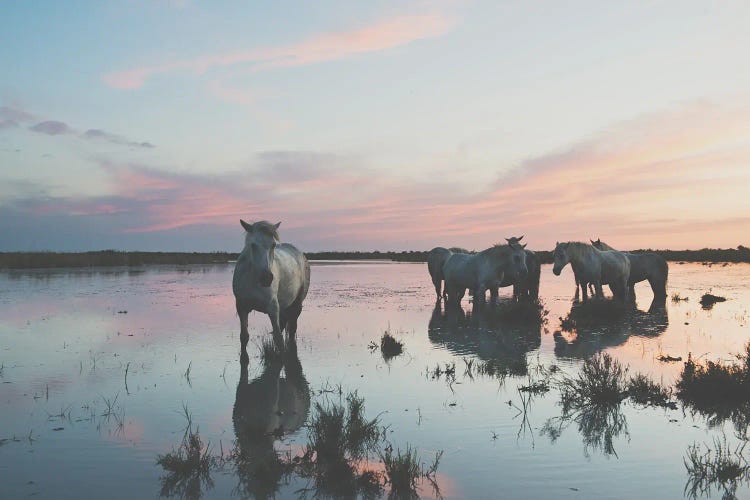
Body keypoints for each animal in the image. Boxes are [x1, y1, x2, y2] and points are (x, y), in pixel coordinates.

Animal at [231, 219, 310, 352]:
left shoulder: (273, 308)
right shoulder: (241, 307)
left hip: (297, 305)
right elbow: (244, 337)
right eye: (253, 245)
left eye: (273, 245)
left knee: (292, 331)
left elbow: (278, 339)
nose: (266, 278)